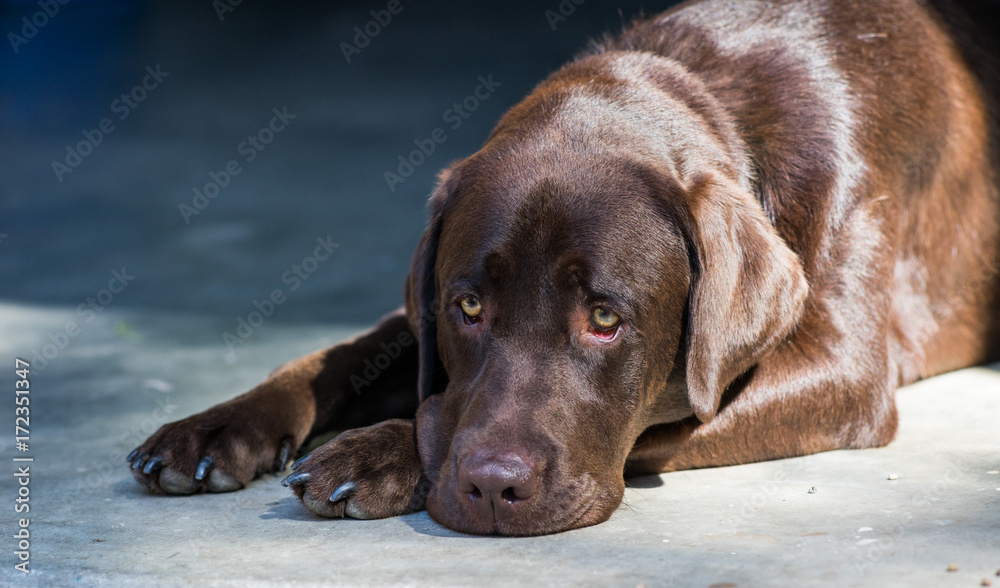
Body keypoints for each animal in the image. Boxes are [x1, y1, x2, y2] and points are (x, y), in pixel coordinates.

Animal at [127, 0, 1000, 536]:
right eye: (468, 308)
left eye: (606, 319)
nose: (491, 488)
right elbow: (336, 354)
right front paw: (216, 426)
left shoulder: (843, 372)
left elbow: (664, 411)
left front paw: (380, 452)